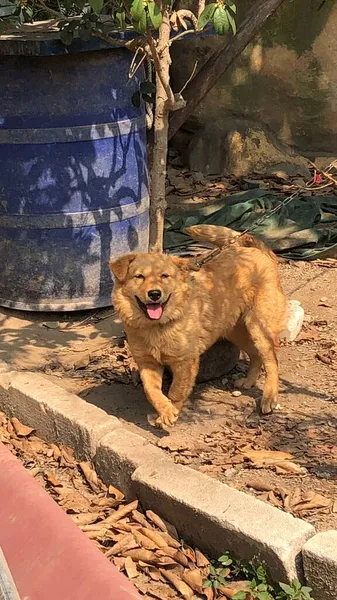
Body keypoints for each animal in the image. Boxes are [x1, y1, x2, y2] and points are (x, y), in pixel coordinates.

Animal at [108, 224, 286, 426]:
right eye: (139, 277)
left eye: (164, 276)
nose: (154, 294)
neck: (157, 326)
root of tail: (253, 249)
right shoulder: (147, 362)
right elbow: (152, 391)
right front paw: (164, 410)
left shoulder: (184, 362)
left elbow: (176, 390)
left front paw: (171, 410)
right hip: (234, 330)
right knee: (256, 355)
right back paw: (248, 381)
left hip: (259, 327)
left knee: (272, 360)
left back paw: (269, 397)